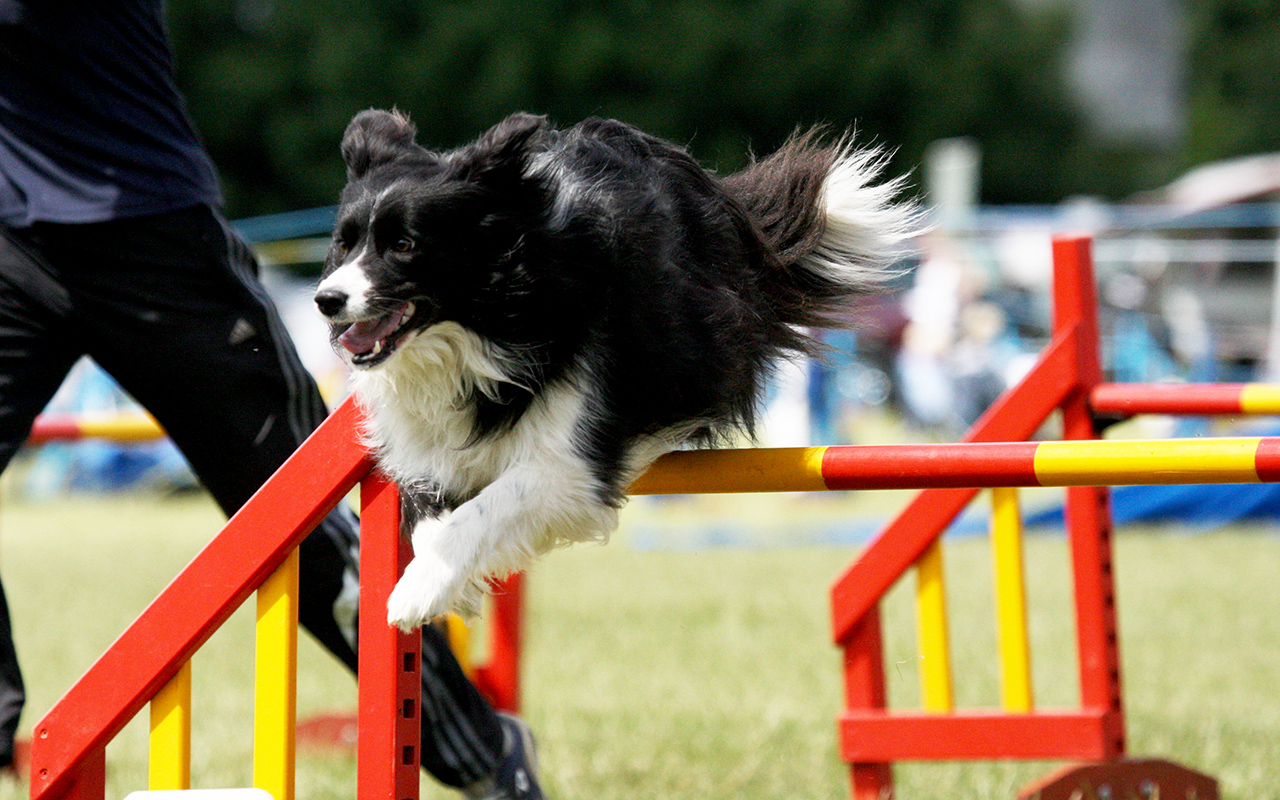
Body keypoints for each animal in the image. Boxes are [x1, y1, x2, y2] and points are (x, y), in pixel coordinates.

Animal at [314, 109, 916, 627]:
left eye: (404, 244)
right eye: (343, 243)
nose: (325, 300)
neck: (486, 322)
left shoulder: (571, 455)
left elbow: (489, 507)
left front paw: (415, 593)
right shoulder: (427, 446)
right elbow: (430, 515)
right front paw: (446, 584)